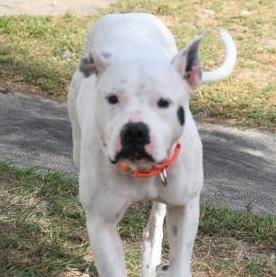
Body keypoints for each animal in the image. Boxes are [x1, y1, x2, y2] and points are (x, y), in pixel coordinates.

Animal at [68, 11, 236, 274]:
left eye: (164, 102)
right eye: (112, 98)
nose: (135, 131)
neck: (141, 170)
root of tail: (128, 14)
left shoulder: (186, 207)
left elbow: (180, 264)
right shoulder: (101, 222)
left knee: (155, 225)